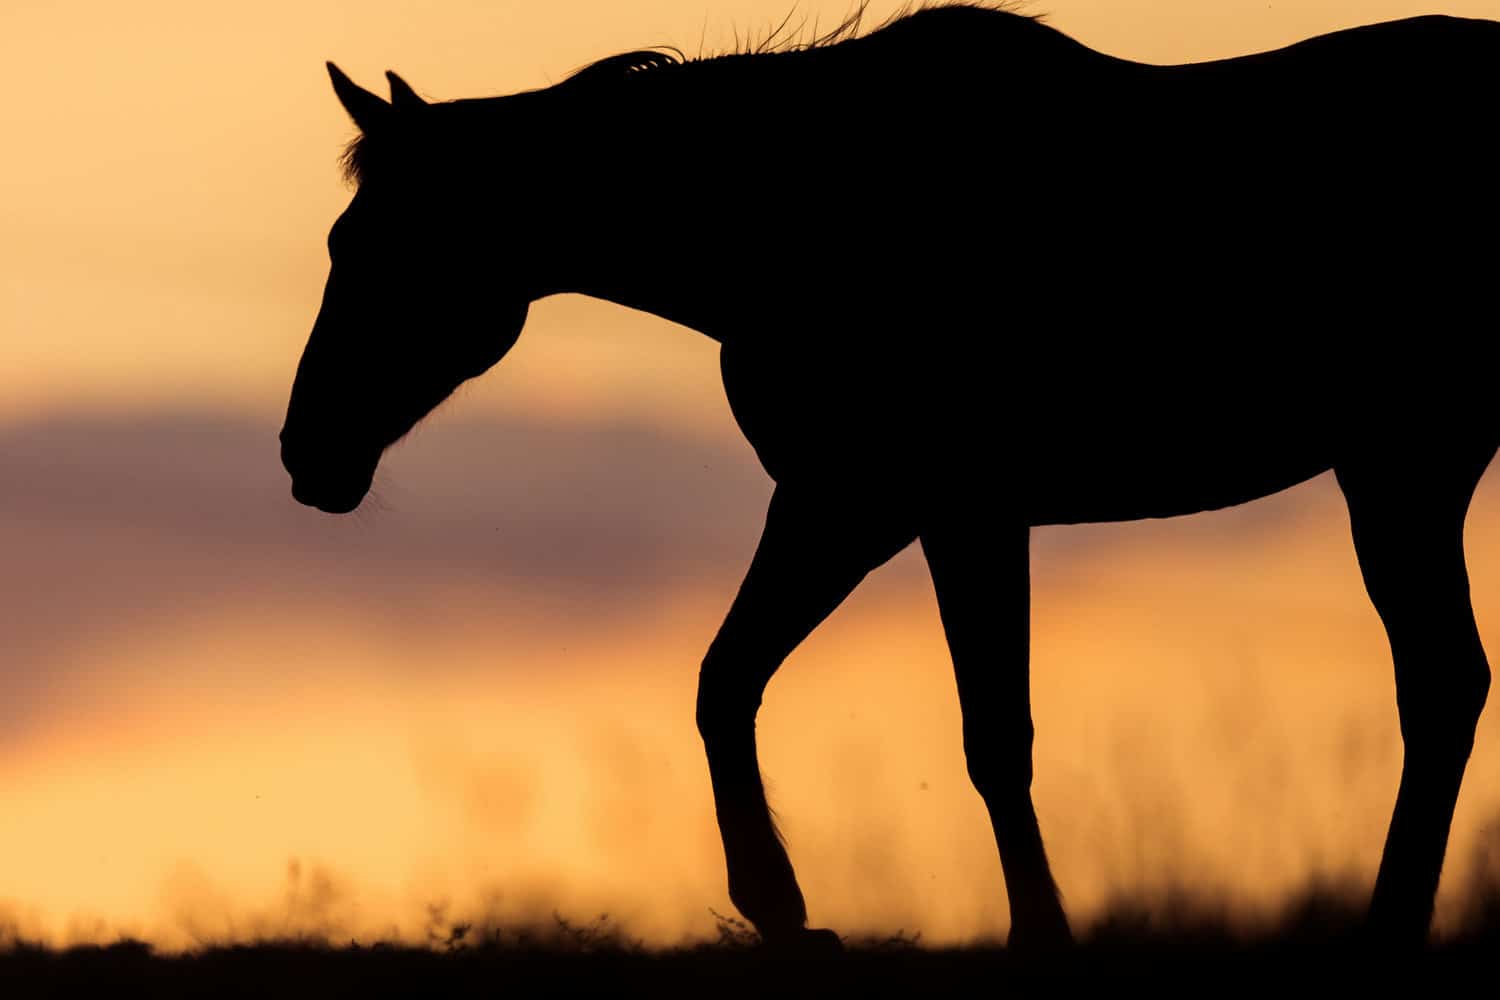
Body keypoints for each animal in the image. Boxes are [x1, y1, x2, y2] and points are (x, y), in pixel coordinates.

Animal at [280, 3, 1500, 950]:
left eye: (385, 249)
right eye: (342, 242)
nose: (305, 454)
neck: (806, 221)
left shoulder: (943, 507)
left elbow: (992, 737)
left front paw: (1028, 933)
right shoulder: (848, 505)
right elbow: (729, 682)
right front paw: (783, 909)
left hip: (1401, 464)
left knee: (1441, 684)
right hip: (1411, 469)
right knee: (1444, 686)